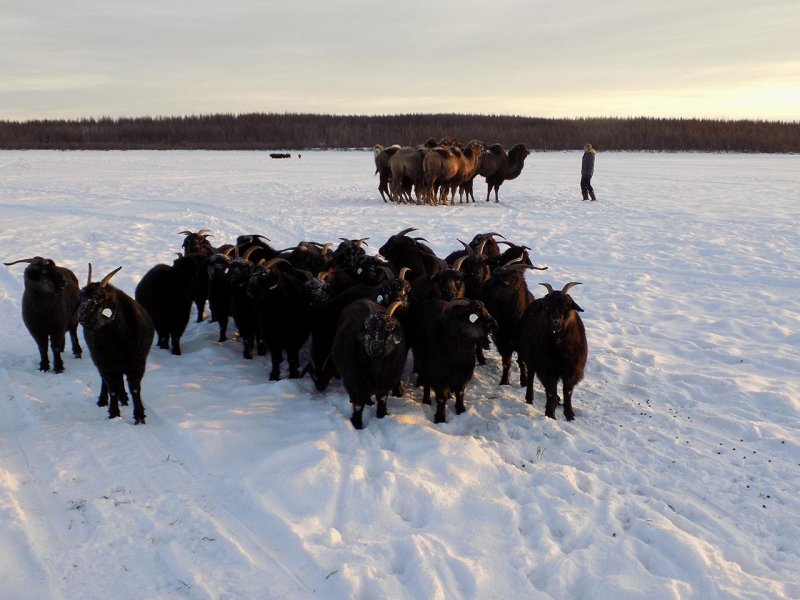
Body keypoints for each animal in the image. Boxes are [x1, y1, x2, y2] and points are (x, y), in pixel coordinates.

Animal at [79, 264, 156, 424]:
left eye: (100, 298)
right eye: (81, 296)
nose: (82, 317)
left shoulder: (137, 365)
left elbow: (135, 389)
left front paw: (139, 416)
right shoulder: (106, 364)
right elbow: (112, 389)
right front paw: (114, 414)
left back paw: (124, 398)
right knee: (106, 381)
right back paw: (103, 400)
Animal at [330, 298, 406, 428]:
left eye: (389, 329)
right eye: (367, 327)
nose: (375, 346)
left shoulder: (386, 383)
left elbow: (382, 400)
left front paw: (381, 416)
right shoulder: (355, 382)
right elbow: (358, 405)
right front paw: (357, 425)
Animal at [520, 282, 588, 420]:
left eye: (567, 305)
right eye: (546, 305)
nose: (554, 321)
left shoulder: (572, 371)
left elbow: (567, 392)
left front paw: (569, 415)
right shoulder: (547, 369)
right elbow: (551, 391)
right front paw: (550, 415)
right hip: (531, 358)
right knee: (531, 376)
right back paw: (529, 397)